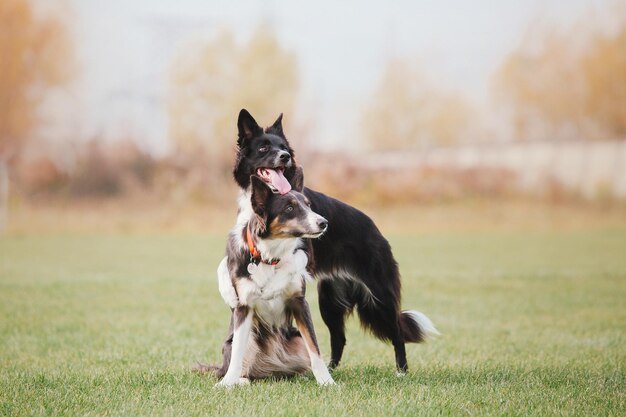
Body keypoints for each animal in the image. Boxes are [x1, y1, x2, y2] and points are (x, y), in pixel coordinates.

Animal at [212, 174, 334, 386]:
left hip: (295, 338)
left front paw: (327, 382)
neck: (269, 256)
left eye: (308, 205)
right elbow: (237, 354)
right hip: (251, 337)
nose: (323, 223)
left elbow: (315, 348)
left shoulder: (299, 302)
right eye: (289, 208)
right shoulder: (244, 306)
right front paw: (227, 384)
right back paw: (240, 380)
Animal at [217, 109, 436, 372]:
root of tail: (375, 230)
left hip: (379, 295)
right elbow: (226, 265)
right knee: (339, 337)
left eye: (283, 148)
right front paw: (229, 290)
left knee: (396, 332)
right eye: (264, 148)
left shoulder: (304, 250)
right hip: (330, 300)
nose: (285, 156)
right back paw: (329, 368)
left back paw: (401, 371)